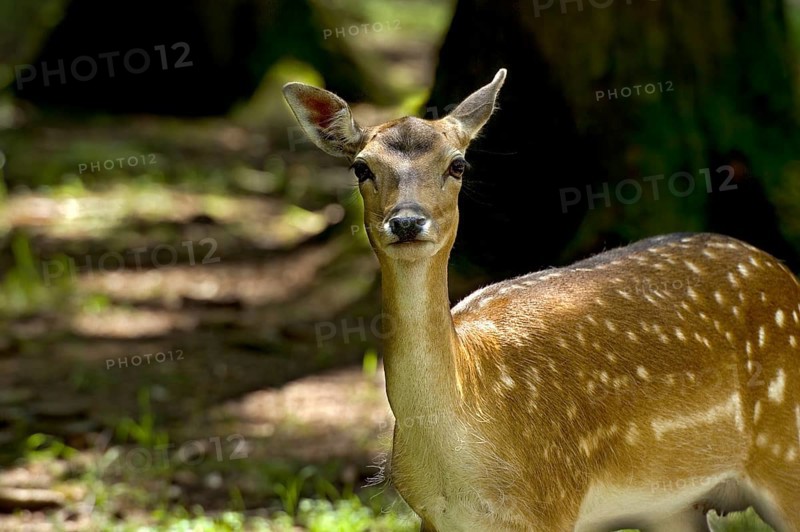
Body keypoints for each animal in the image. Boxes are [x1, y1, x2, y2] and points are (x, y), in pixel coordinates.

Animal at [282, 69, 800, 531]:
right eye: (361, 167)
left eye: (458, 164)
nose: (407, 221)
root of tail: (785, 274)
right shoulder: (432, 516)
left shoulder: (551, 500)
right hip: (673, 508)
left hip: (786, 454)